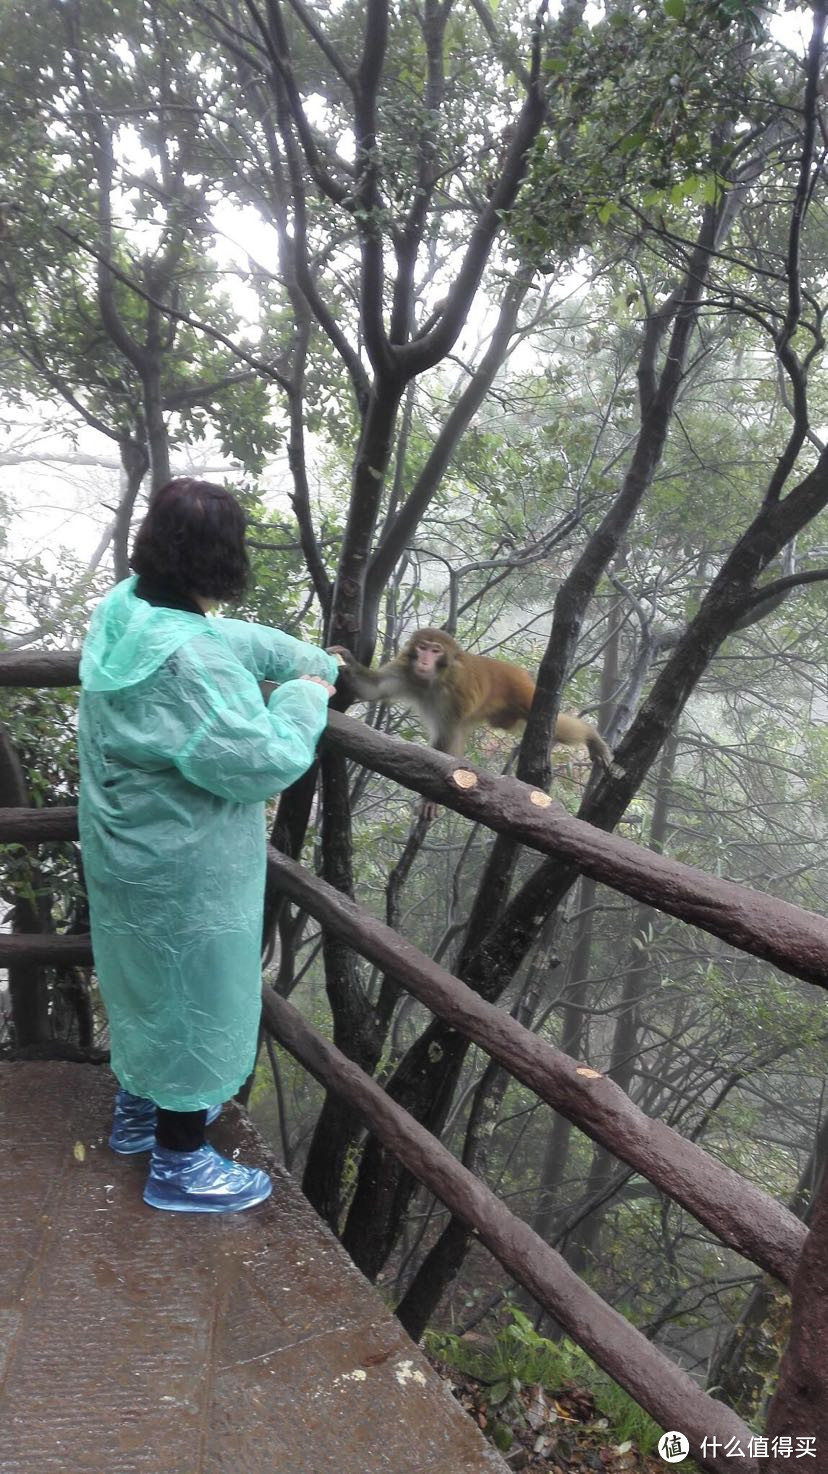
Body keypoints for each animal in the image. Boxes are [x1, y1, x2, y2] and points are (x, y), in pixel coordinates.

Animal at [330, 627, 612, 772]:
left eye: (435, 651)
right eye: (422, 648)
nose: (424, 660)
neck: (432, 679)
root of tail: (514, 669)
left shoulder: (454, 694)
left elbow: (447, 737)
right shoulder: (404, 672)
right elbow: (373, 690)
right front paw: (345, 658)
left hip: (522, 692)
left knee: (549, 721)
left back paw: (592, 737)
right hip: (503, 716)